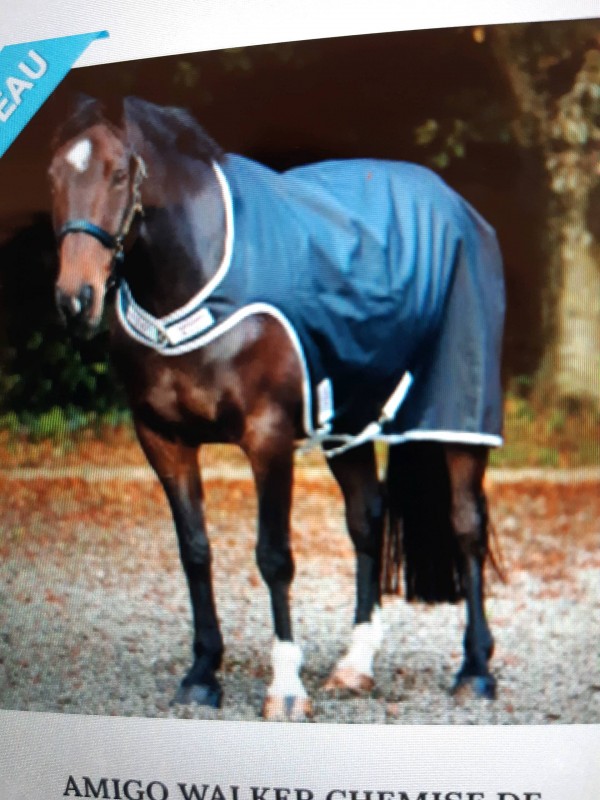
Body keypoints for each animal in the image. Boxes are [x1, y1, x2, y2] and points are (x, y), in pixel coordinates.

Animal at [48, 96, 505, 720]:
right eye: (52, 175)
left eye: (119, 173)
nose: (77, 300)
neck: (196, 283)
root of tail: (459, 206)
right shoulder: (163, 440)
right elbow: (195, 552)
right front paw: (202, 674)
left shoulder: (267, 438)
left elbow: (273, 557)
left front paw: (285, 687)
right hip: (347, 425)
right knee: (367, 520)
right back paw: (355, 665)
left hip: (456, 415)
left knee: (466, 525)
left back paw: (475, 670)